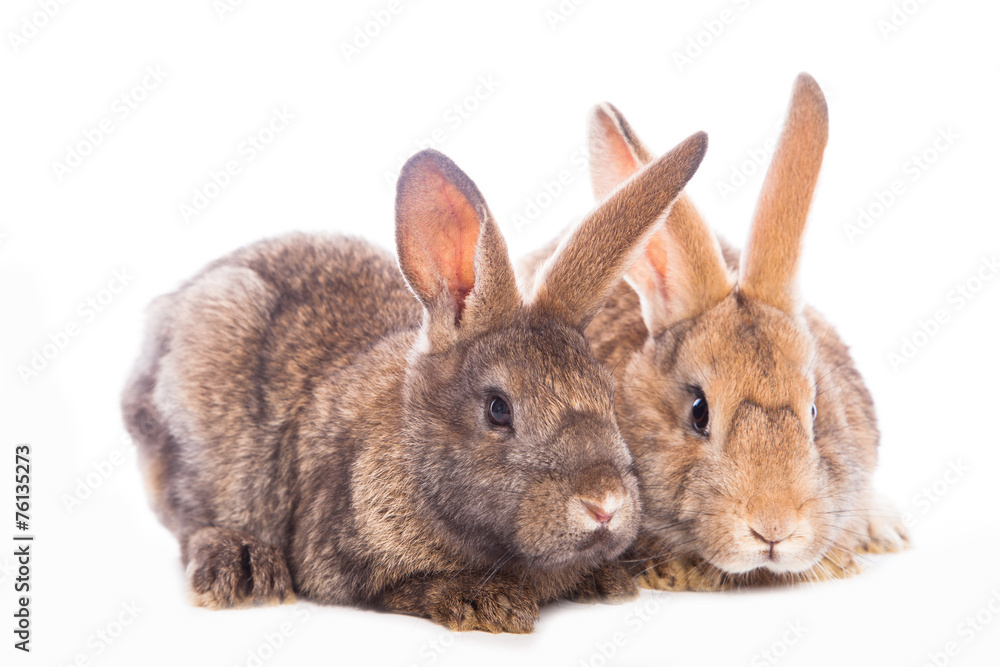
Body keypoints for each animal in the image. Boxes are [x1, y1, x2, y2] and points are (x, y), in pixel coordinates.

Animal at [121, 135, 708, 633]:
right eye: (498, 408)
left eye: (607, 394)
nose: (604, 503)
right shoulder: (342, 559)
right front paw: (486, 603)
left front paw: (607, 580)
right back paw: (242, 567)